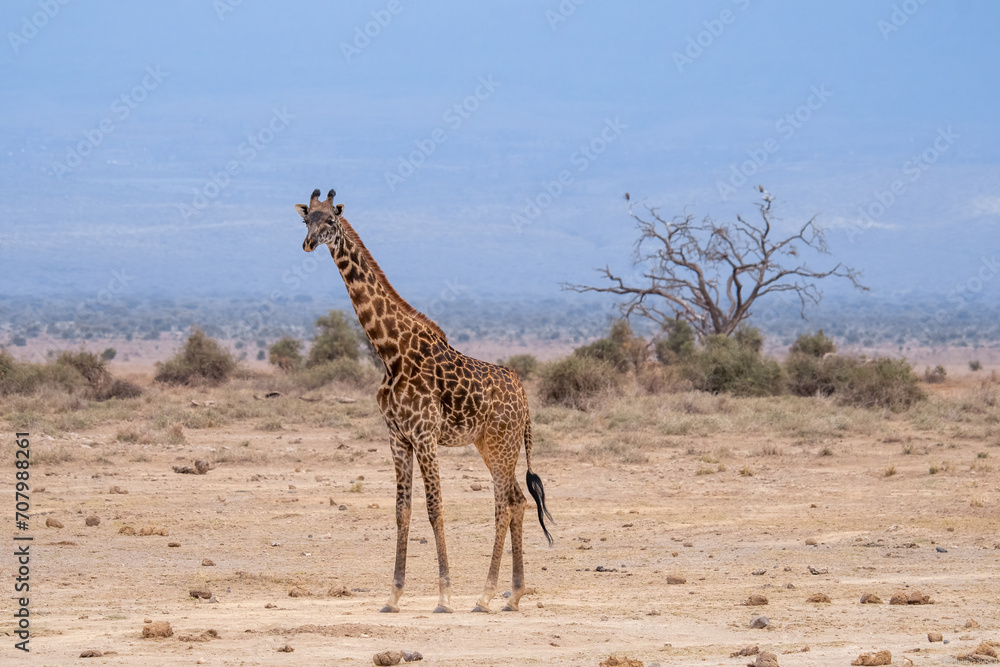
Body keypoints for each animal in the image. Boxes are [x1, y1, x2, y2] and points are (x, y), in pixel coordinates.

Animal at [294, 188, 552, 614]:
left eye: (330, 219)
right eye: (305, 219)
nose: (309, 243)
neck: (390, 352)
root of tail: (524, 394)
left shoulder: (425, 435)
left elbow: (435, 509)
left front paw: (444, 595)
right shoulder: (398, 437)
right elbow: (403, 511)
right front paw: (393, 595)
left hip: (503, 443)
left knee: (504, 503)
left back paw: (485, 595)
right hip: (490, 444)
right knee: (517, 499)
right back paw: (513, 595)